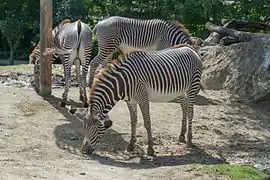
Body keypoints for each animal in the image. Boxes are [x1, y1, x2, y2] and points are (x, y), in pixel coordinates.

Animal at [67, 43, 202, 156]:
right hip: (179, 90)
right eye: (84, 126)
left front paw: (150, 149)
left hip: (192, 87)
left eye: (95, 127)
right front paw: (131, 145)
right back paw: (182, 136)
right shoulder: (130, 101)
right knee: (184, 106)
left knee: (190, 112)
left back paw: (189, 141)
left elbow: (147, 122)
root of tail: (190, 48)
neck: (121, 83)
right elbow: (133, 121)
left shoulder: (143, 98)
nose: (84, 151)